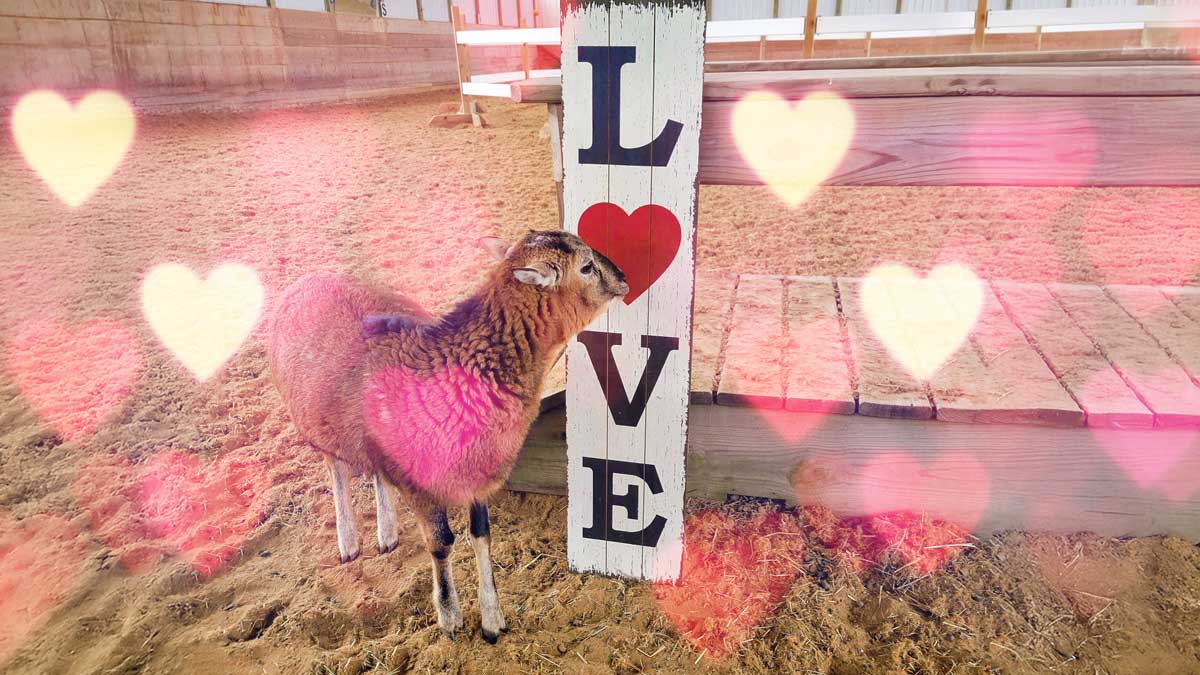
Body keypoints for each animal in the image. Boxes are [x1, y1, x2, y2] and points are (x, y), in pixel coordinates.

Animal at [267, 229, 628, 641]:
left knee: (376, 474)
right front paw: (450, 617)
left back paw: (386, 534)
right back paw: (349, 543)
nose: (624, 278)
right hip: (317, 423)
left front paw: (492, 620)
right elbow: (441, 544)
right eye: (585, 267)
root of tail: (309, 279)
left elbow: (481, 536)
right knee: (338, 469)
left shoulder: (478, 472)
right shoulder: (421, 485)